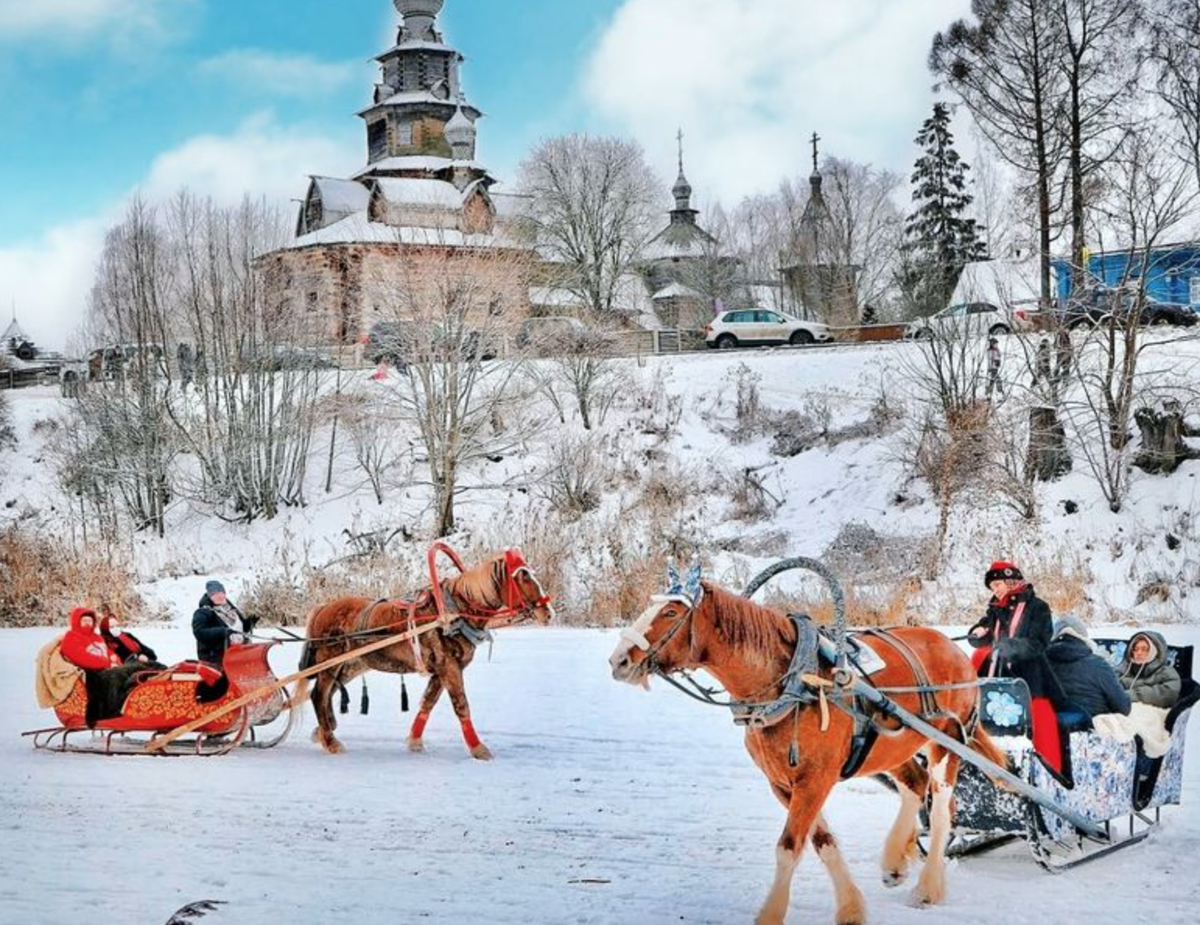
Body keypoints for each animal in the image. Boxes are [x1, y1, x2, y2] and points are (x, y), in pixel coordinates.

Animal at [295, 549, 552, 758]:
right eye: (522, 577)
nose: (548, 612)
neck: (453, 613)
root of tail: (322, 608)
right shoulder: (449, 667)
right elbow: (461, 705)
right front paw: (479, 749)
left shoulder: (441, 670)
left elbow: (428, 702)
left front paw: (415, 741)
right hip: (330, 661)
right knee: (318, 695)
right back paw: (331, 742)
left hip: (352, 664)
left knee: (327, 692)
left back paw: (324, 730)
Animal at [609, 583, 1003, 921]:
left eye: (671, 612)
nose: (619, 661)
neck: (791, 683)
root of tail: (953, 649)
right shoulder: (783, 784)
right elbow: (821, 842)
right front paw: (851, 908)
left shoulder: (815, 780)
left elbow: (789, 847)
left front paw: (770, 914)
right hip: (895, 747)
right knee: (916, 785)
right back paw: (894, 859)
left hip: (946, 741)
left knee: (941, 810)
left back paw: (928, 888)